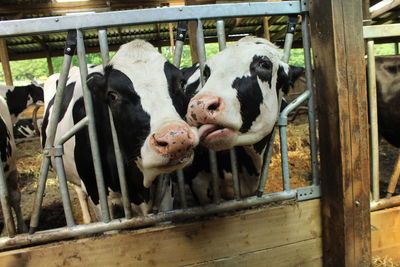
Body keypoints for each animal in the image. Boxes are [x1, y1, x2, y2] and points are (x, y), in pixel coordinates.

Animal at [42, 39, 198, 223]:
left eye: (181, 84)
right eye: (112, 95)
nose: (177, 139)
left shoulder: (165, 190)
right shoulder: (97, 193)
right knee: (79, 192)